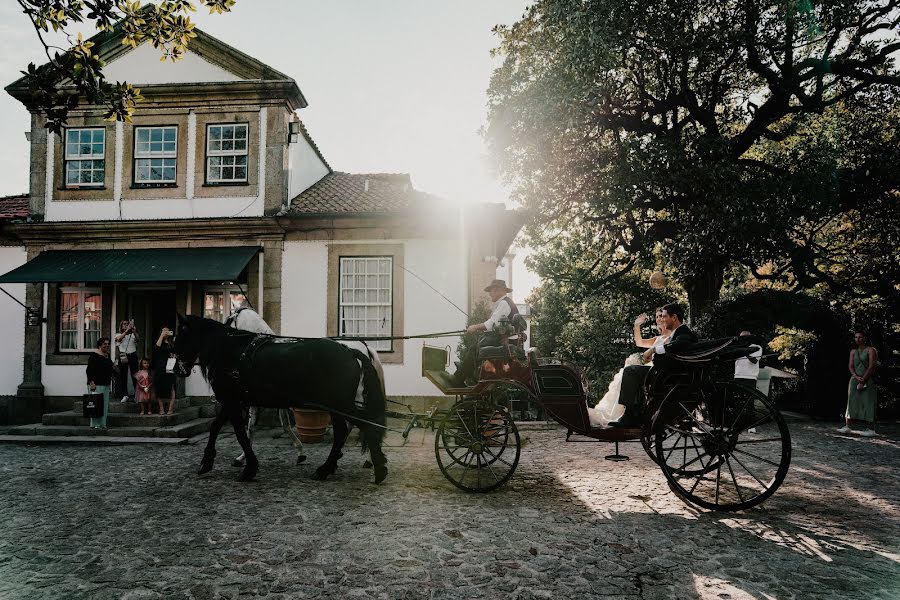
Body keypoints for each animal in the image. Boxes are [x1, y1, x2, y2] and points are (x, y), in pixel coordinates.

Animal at [172, 314, 386, 482]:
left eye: (180, 336)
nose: (176, 370)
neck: (234, 351)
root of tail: (351, 350)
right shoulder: (232, 401)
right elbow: (218, 427)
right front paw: (208, 462)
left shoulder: (233, 401)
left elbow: (242, 432)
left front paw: (248, 467)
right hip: (339, 405)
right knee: (348, 430)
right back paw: (342, 466)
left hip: (338, 403)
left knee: (360, 427)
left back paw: (367, 468)